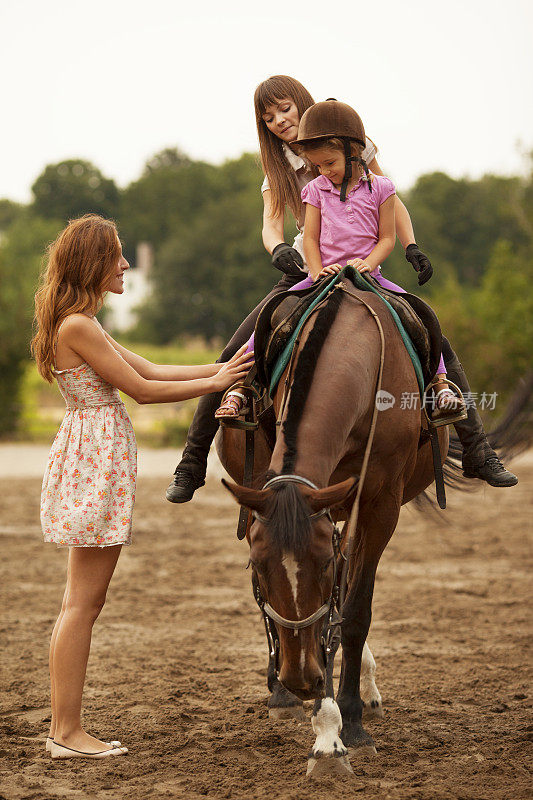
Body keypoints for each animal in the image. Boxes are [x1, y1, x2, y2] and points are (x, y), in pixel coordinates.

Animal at [216, 284, 444, 772]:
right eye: (258, 567)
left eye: (320, 566)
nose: (302, 679)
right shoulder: (263, 489)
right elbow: (316, 616)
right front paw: (325, 732)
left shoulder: (379, 509)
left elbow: (353, 611)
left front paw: (348, 722)